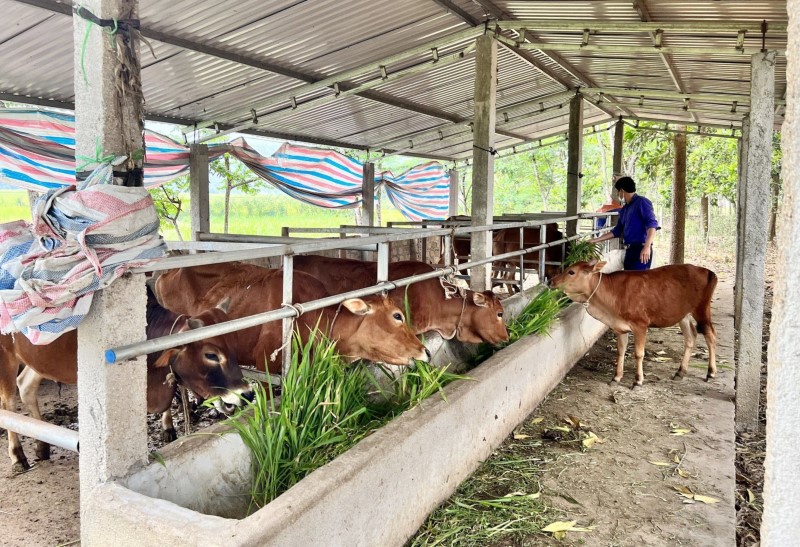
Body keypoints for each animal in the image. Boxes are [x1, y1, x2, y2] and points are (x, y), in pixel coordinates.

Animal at [0, 288, 252, 474]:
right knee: (9, 402)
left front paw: (168, 428)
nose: (247, 393)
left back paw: (42, 446)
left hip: (38, 360)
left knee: (26, 387)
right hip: (7, 355)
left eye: (234, 344)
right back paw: (18, 455)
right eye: (211, 355)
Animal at [552, 262, 720, 388]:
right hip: (683, 315)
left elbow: (639, 353)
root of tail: (707, 271)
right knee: (690, 337)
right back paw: (680, 372)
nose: (552, 280)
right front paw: (616, 378)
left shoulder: (641, 325)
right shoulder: (620, 327)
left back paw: (711, 372)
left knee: (710, 335)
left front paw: (638, 380)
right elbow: (621, 351)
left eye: (571, 272)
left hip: (702, 309)